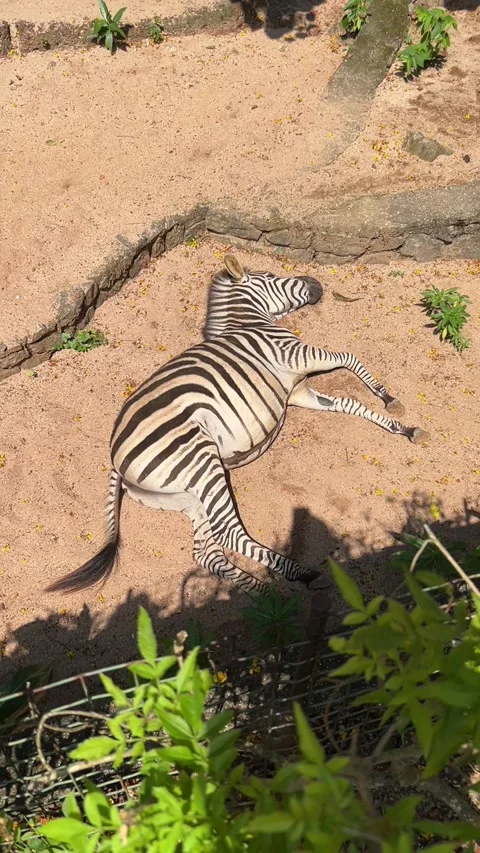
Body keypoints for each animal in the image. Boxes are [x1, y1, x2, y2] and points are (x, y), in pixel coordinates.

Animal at [46, 254, 430, 597]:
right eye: (272, 274)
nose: (315, 283)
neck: (250, 322)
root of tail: (115, 462)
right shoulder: (295, 354)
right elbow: (348, 357)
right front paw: (388, 397)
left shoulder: (297, 392)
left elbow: (350, 404)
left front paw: (404, 428)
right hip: (201, 462)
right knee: (229, 534)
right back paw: (298, 576)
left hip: (186, 494)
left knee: (208, 552)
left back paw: (265, 595)